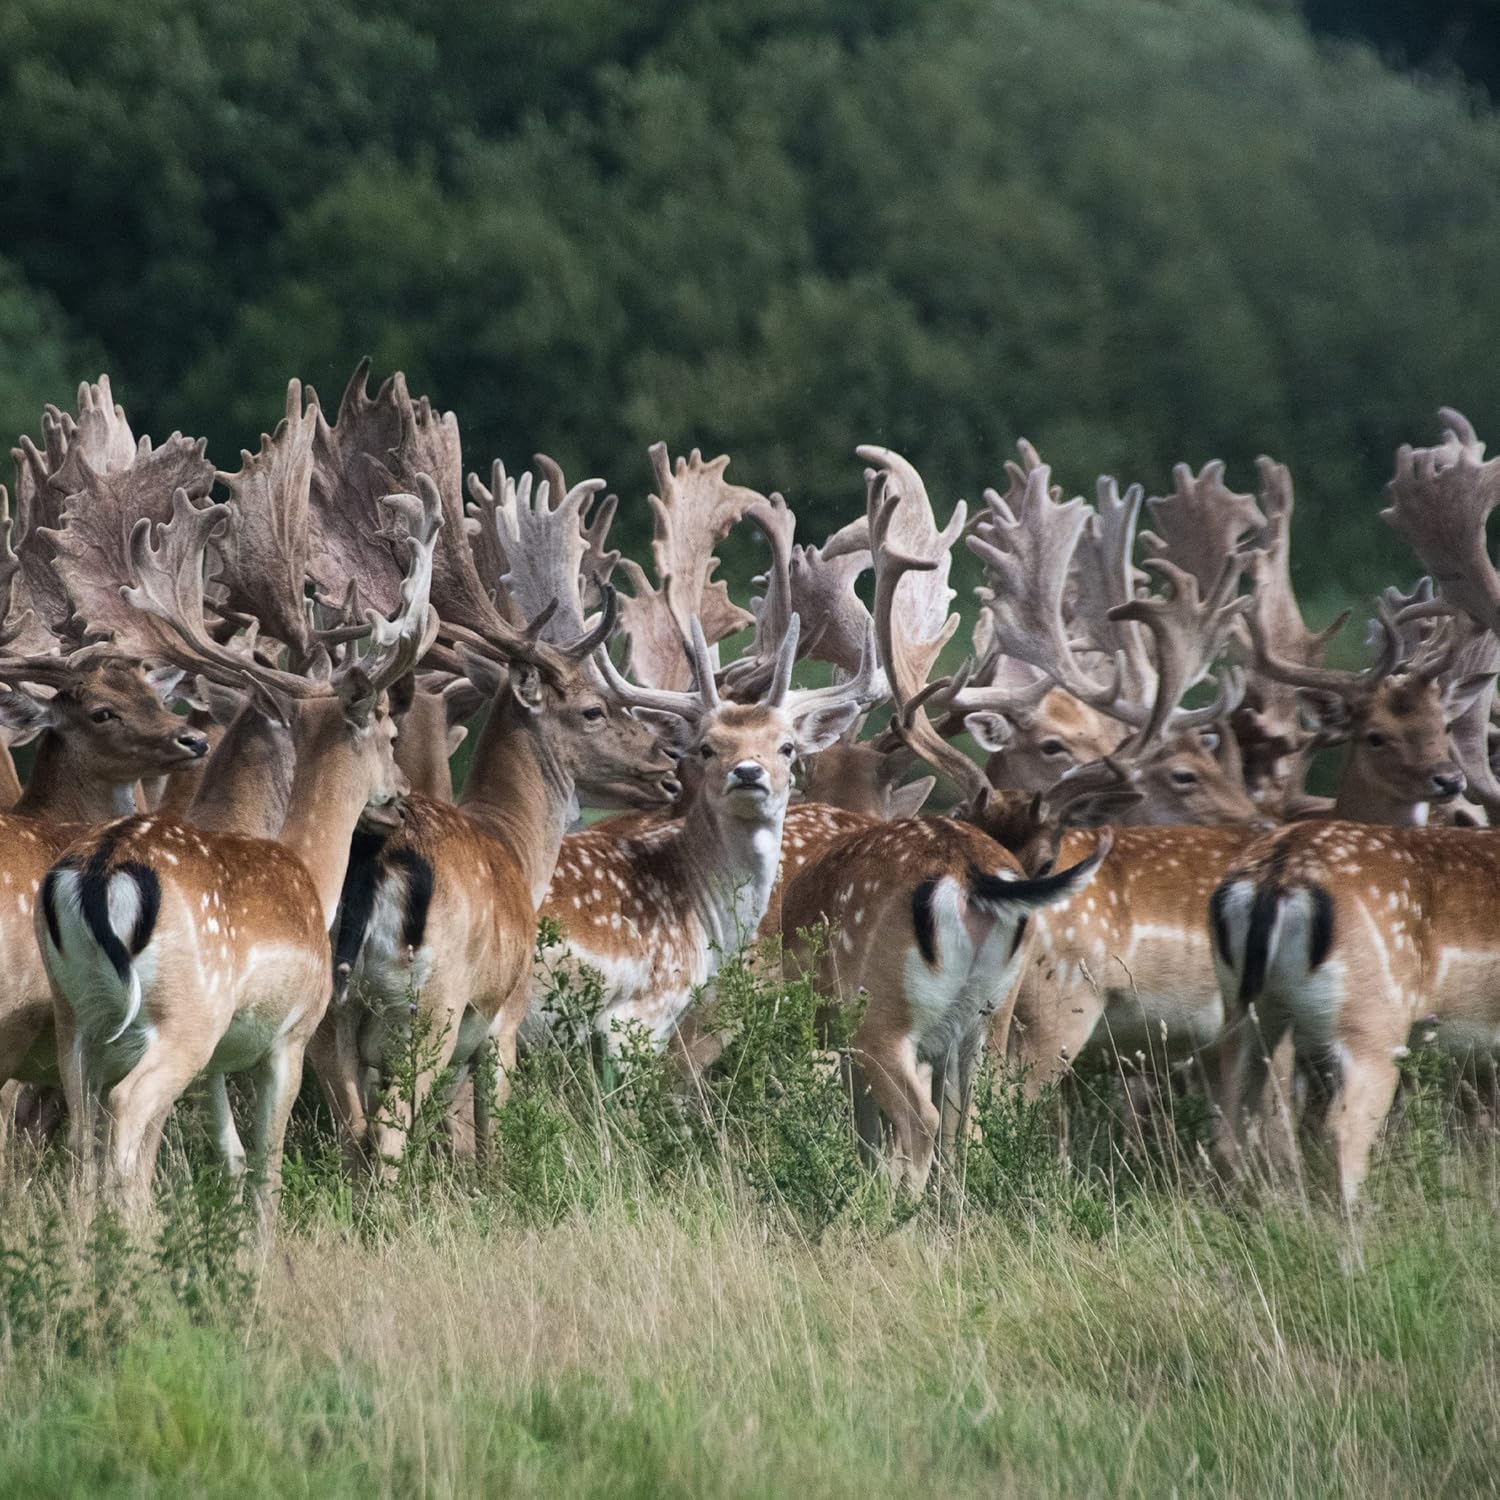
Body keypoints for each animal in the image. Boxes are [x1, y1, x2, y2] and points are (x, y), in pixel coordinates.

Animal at [38, 471, 438, 1218]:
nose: (398, 797)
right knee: (128, 1116)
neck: (312, 874)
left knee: (81, 1139)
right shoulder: (291, 1034)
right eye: (390, 735)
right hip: (183, 1016)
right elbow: (265, 1167)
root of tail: (100, 871)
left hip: (71, 1016)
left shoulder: (224, 1058)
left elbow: (226, 1156)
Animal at [1212, 405, 1500, 1200]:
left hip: (1250, 1007)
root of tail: (1276, 879)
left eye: (1442, 726)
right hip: (1370, 1015)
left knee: (1235, 1118)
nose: (1450, 780)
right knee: (1341, 1130)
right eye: (1374, 735)